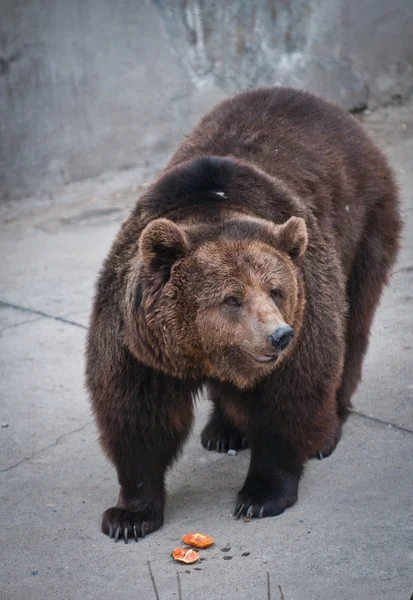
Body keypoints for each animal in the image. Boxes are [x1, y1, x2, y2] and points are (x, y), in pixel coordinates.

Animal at [86, 86, 400, 540]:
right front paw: (129, 516)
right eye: (231, 298)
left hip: (364, 226)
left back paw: (327, 428)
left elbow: (291, 395)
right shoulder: (137, 342)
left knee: (353, 323)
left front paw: (261, 494)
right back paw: (223, 431)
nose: (279, 335)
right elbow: (137, 415)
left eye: (275, 290)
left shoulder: (307, 306)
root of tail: (329, 108)